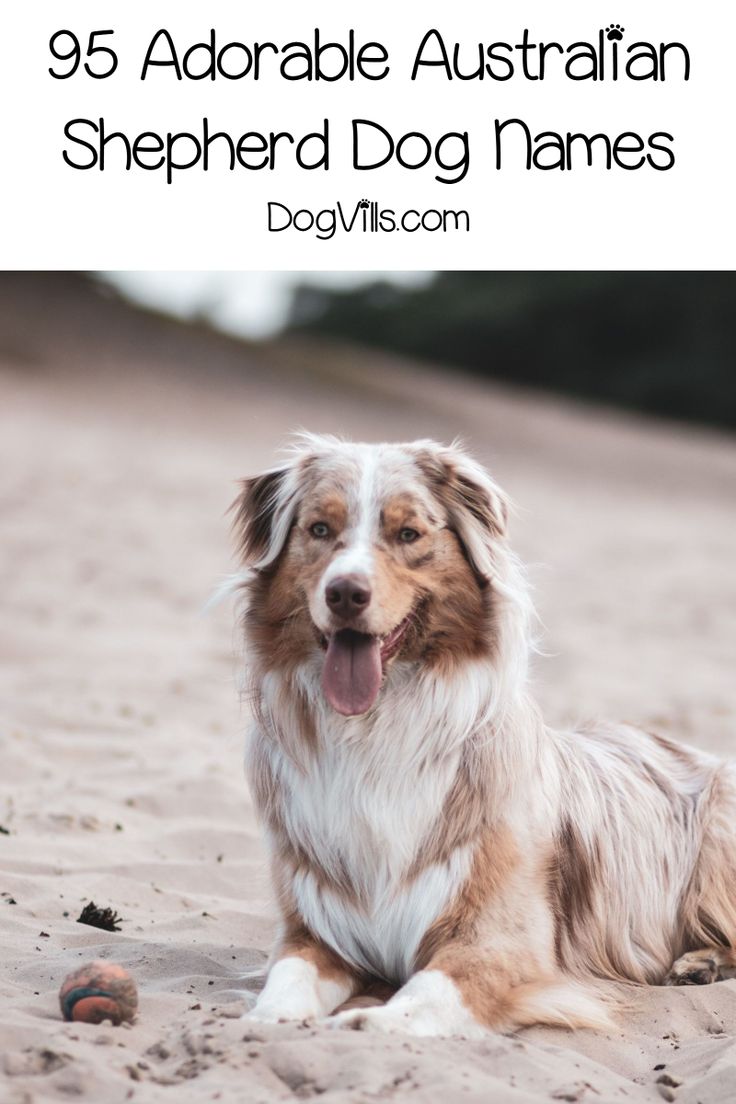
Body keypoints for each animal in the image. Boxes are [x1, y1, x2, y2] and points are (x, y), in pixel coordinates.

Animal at [232, 432, 736, 1033]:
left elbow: (427, 990)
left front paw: (363, 1023)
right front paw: (268, 1020)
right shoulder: (315, 928)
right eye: (319, 530)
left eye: (408, 534)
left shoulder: (498, 940)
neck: (376, 730)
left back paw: (702, 961)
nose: (345, 593)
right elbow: (286, 980)